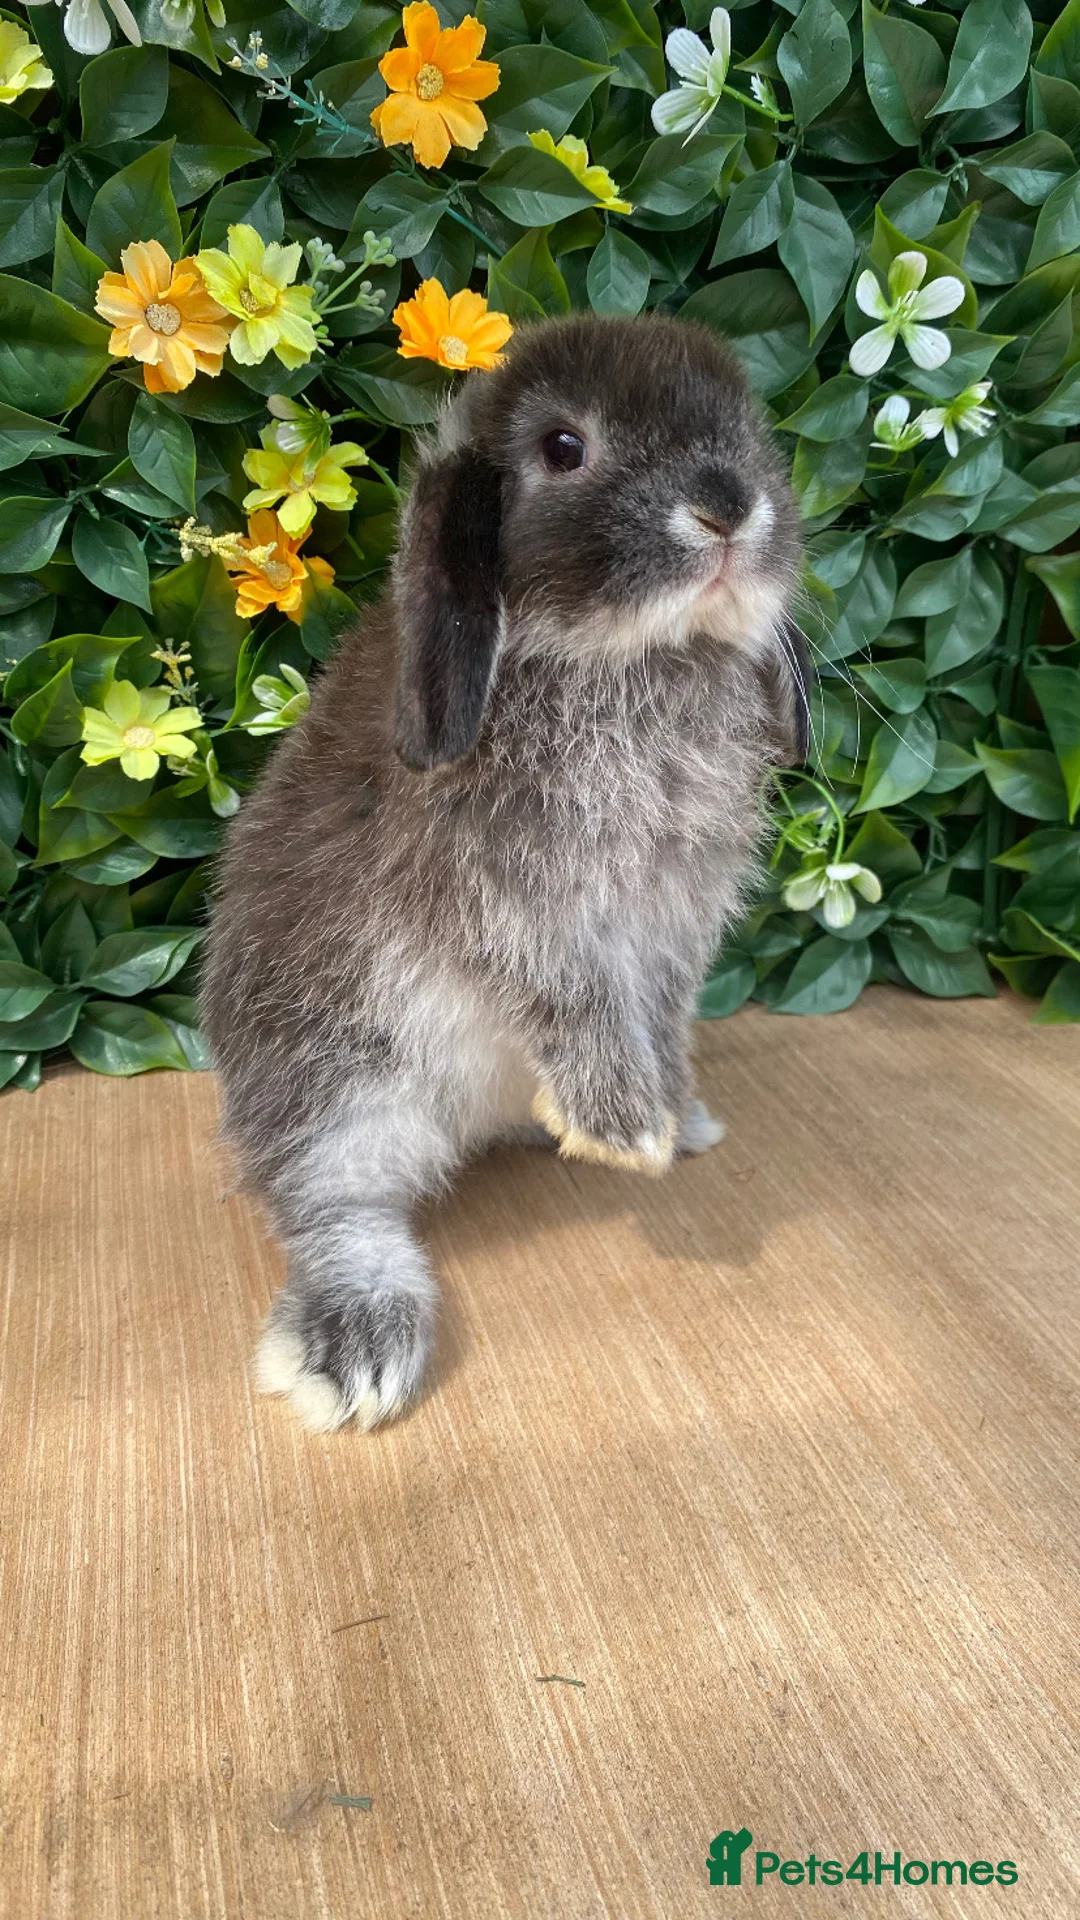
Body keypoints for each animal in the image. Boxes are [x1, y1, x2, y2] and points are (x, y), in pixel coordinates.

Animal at [201, 310, 809, 1435]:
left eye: (754, 431)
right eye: (563, 449)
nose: (727, 505)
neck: (629, 658)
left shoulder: (677, 924)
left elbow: (660, 1015)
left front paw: (670, 1112)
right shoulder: (519, 908)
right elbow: (574, 998)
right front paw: (627, 1130)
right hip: (337, 1076)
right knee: (329, 1204)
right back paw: (357, 1343)